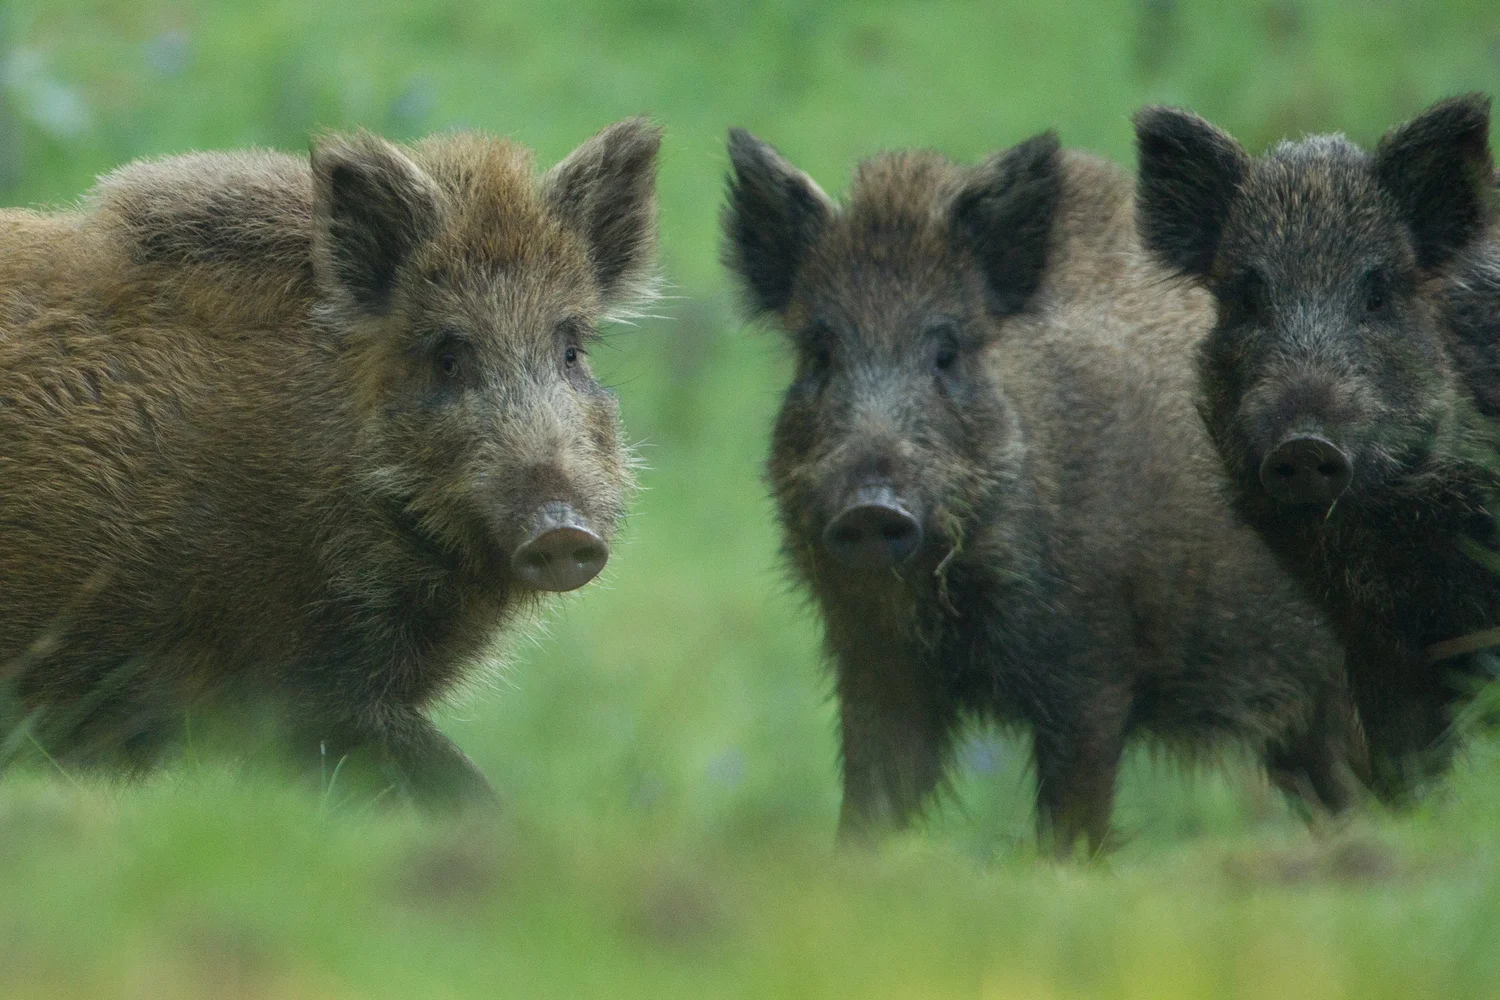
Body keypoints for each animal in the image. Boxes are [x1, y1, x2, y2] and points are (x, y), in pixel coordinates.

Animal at [721, 128, 1366, 856]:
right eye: (819, 353)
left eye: (948, 352)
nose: (871, 507)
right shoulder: (877, 664)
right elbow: (872, 806)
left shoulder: (1092, 665)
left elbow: (1071, 824)